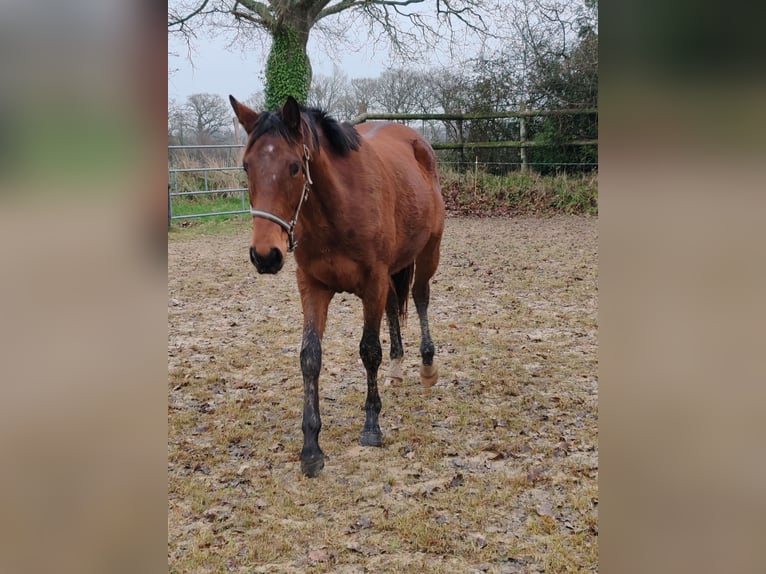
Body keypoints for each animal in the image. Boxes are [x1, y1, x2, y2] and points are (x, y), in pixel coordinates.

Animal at [230, 97, 444, 480]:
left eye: (295, 167)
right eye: (246, 166)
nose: (265, 256)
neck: (336, 209)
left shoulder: (373, 282)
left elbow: (369, 350)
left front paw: (371, 427)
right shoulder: (313, 287)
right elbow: (310, 357)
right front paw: (311, 447)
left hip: (428, 252)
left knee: (420, 297)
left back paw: (426, 366)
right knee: (395, 307)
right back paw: (397, 368)